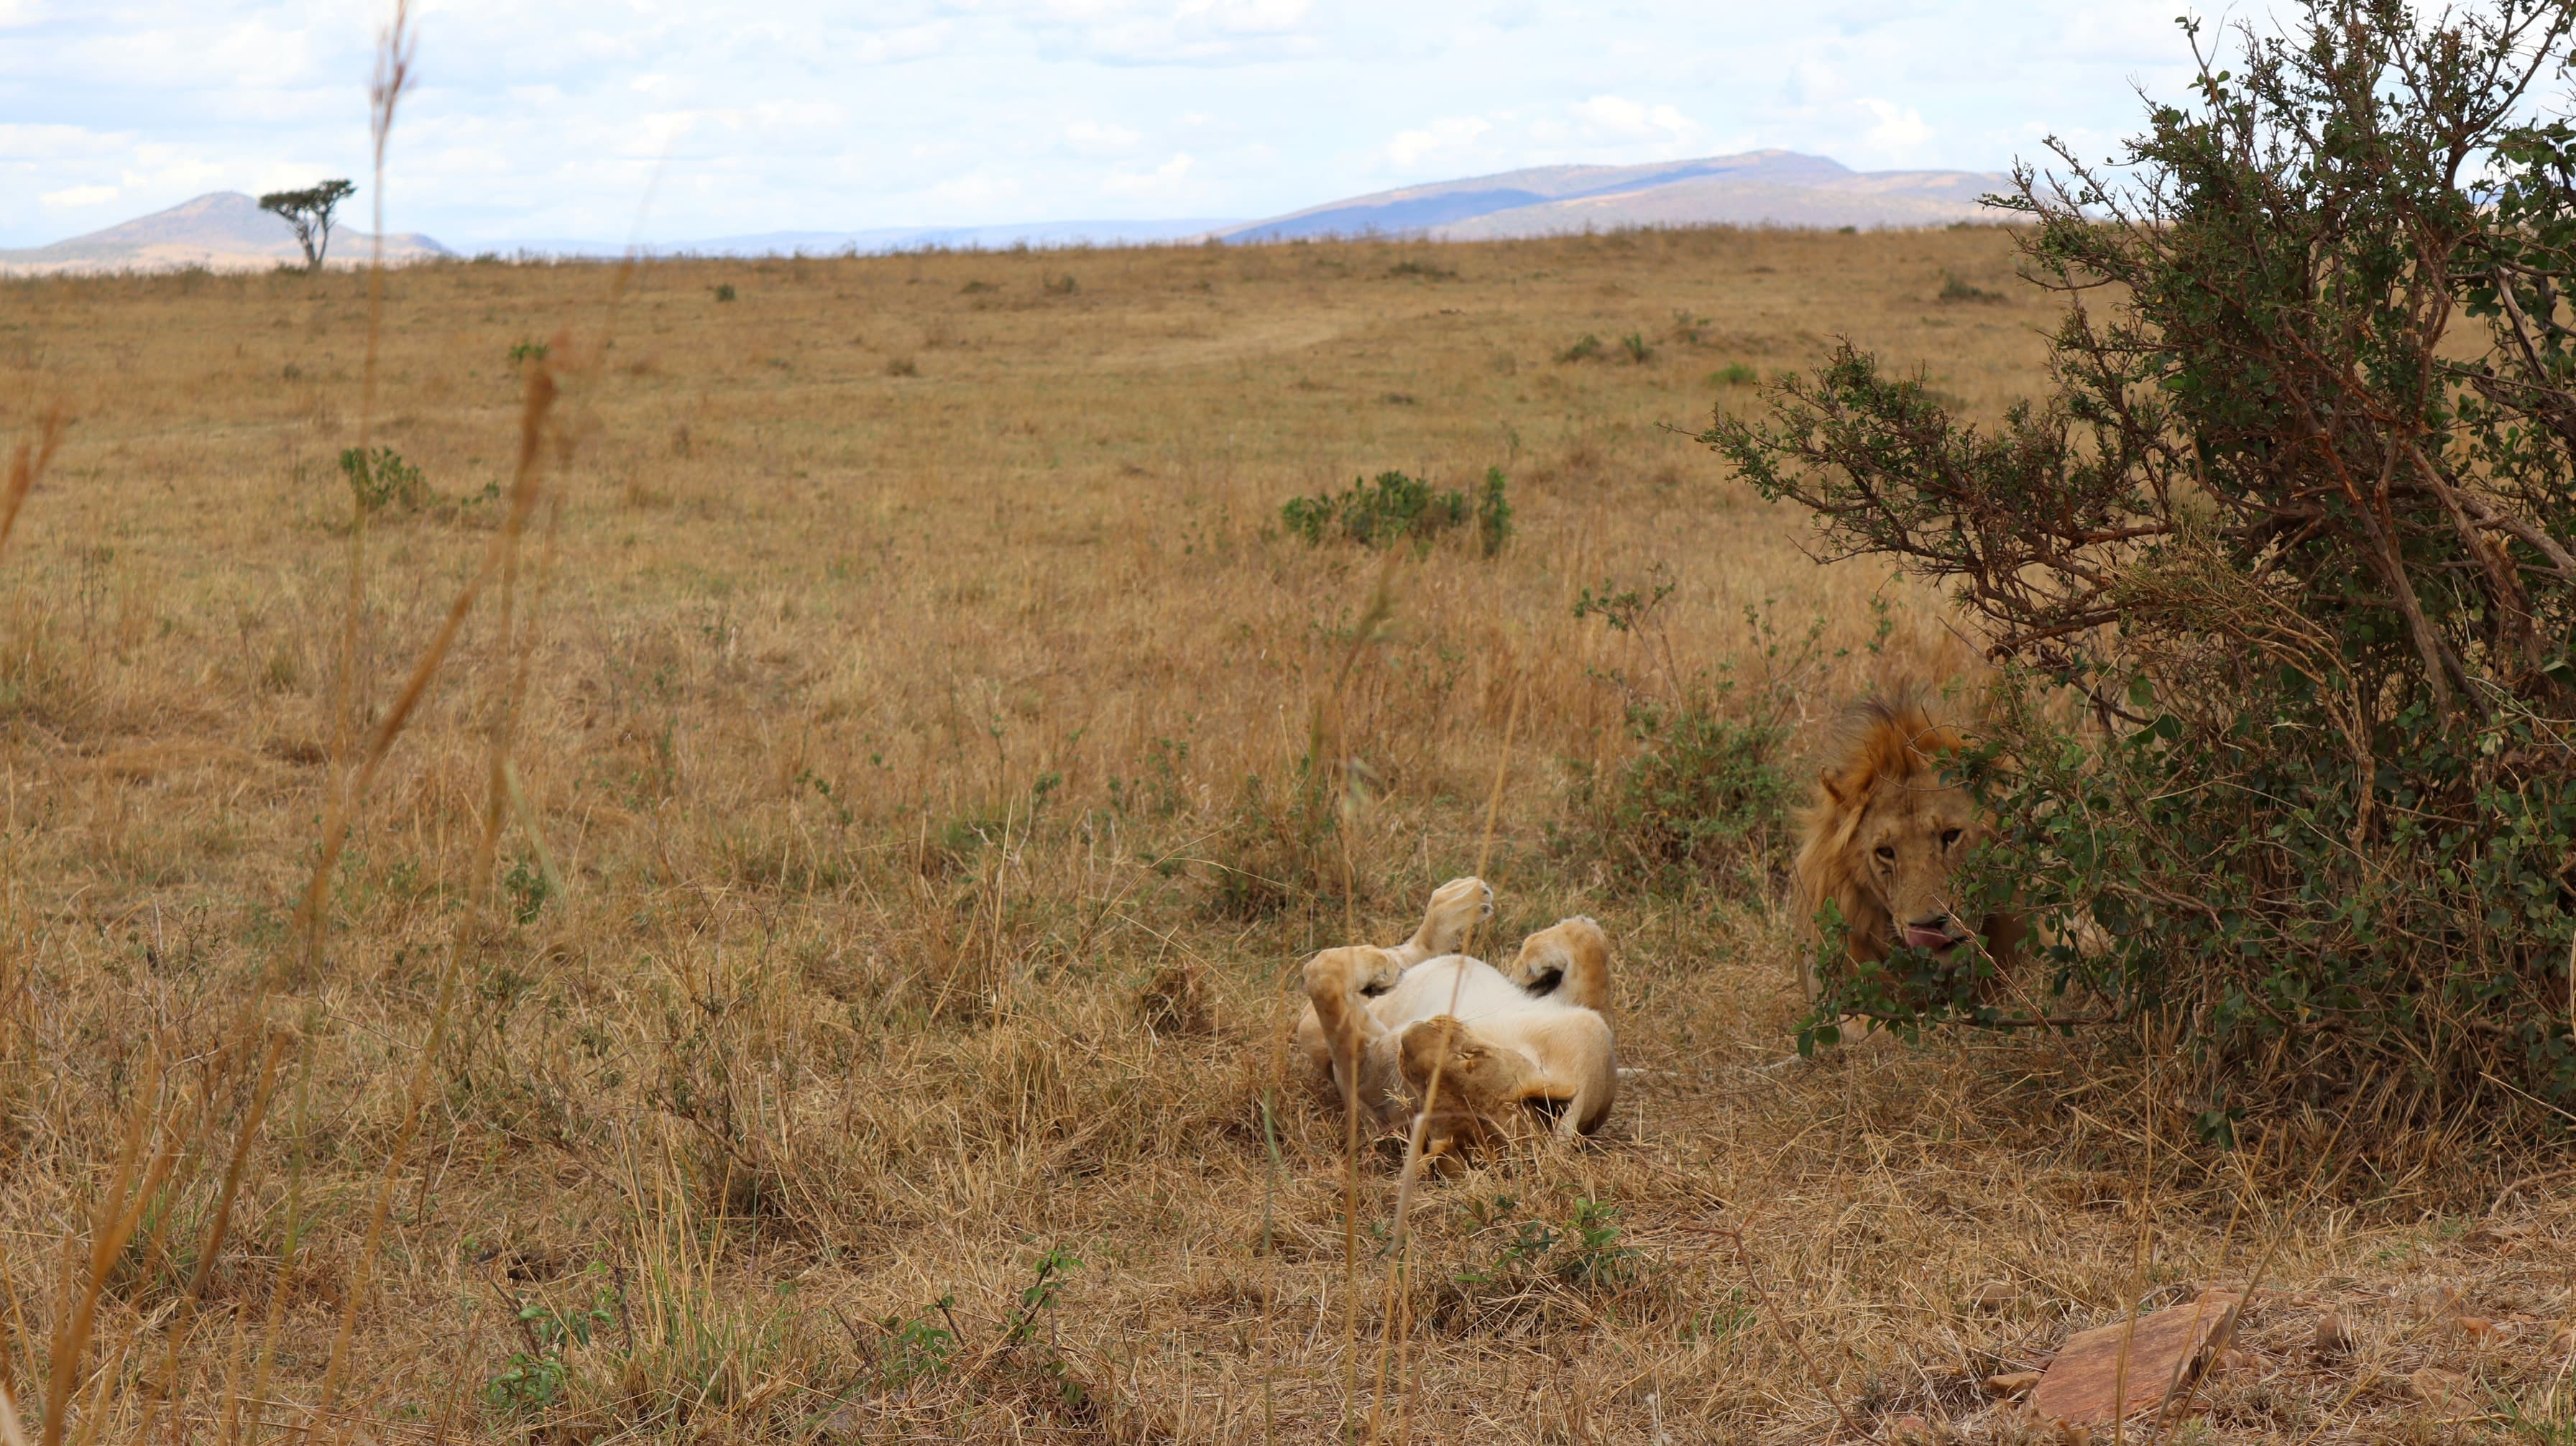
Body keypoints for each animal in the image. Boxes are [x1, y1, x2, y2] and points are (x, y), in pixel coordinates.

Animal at [1295, 877, 1616, 1161]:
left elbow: (1322, 978)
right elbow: (1593, 952)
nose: (1409, 1035)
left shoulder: (1368, 1080)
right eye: (1472, 1055)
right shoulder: (1589, 1027)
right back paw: (1460, 902)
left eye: (1425, 1093)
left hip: (1312, 1030)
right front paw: (1532, 963)